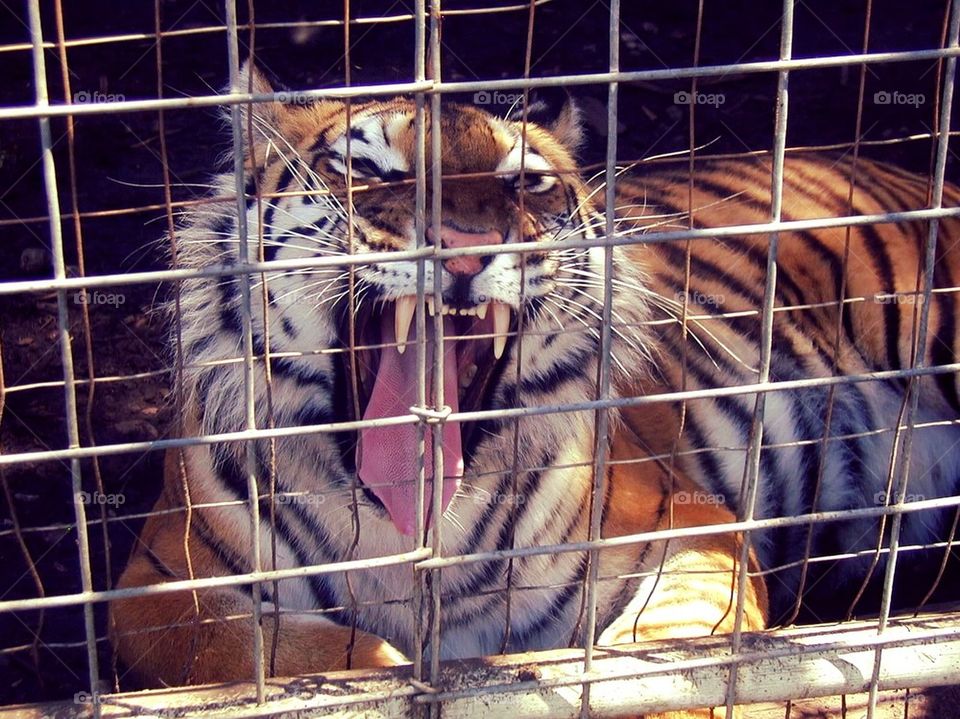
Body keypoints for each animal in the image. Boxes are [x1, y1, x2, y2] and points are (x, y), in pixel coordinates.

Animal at [111, 62, 960, 717]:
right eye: (370, 169)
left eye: (526, 183)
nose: (464, 245)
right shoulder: (160, 587)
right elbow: (296, 654)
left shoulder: (690, 527)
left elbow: (666, 661)